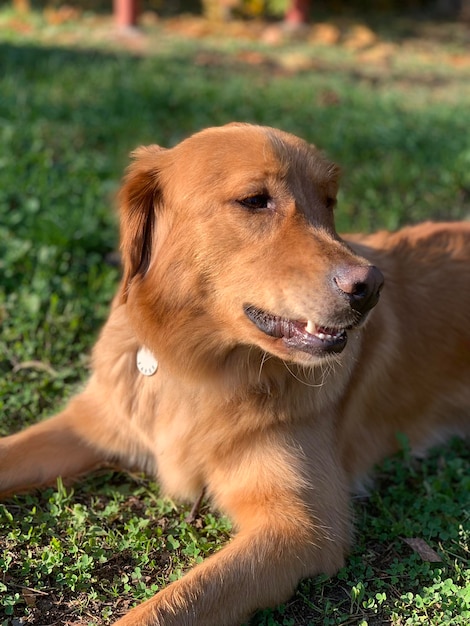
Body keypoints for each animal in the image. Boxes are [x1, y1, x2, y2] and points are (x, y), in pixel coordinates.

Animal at [0, 123, 470, 624]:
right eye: (254, 200)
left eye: (329, 201)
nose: (371, 287)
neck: (199, 371)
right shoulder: (95, 422)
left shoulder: (304, 527)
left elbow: (173, 604)